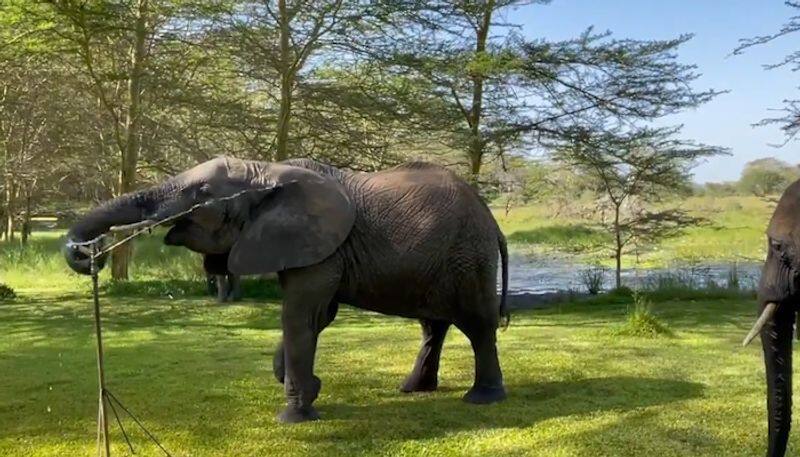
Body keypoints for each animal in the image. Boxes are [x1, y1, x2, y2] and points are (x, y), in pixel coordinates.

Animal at [65, 158, 510, 424]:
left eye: (202, 194)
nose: (88, 255)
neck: (266, 171)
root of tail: (491, 217)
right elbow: (318, 315)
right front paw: (309, 388)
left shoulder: (317, 245)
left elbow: (300, 314)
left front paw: (295, 416)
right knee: (433, 325)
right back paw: (413, 390)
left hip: (469, 255)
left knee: (477, 324)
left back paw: (483, 399)